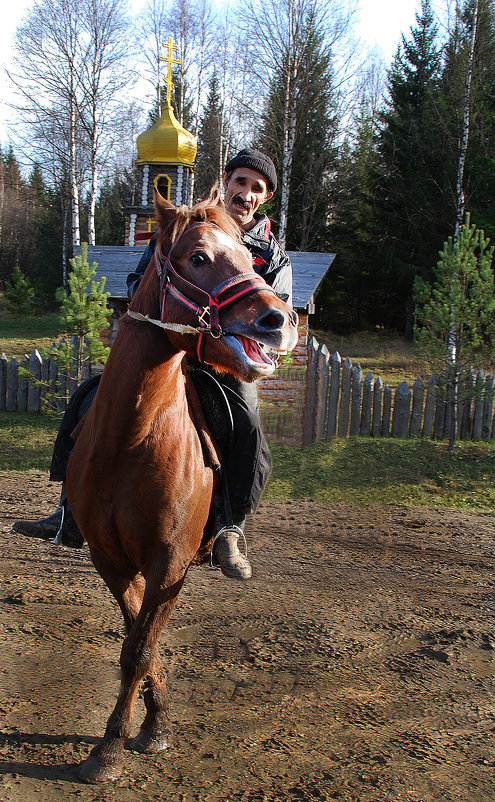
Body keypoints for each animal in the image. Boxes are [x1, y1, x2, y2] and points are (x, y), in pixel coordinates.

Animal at [66, 189, 298, 780]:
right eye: (198, 257)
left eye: (250, 259)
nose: (280, 319)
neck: (131, 438)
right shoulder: (110, 558)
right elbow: (136, 639)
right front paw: (148, 721)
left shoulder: (169, 562)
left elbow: (141, 648)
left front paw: (118, 742)